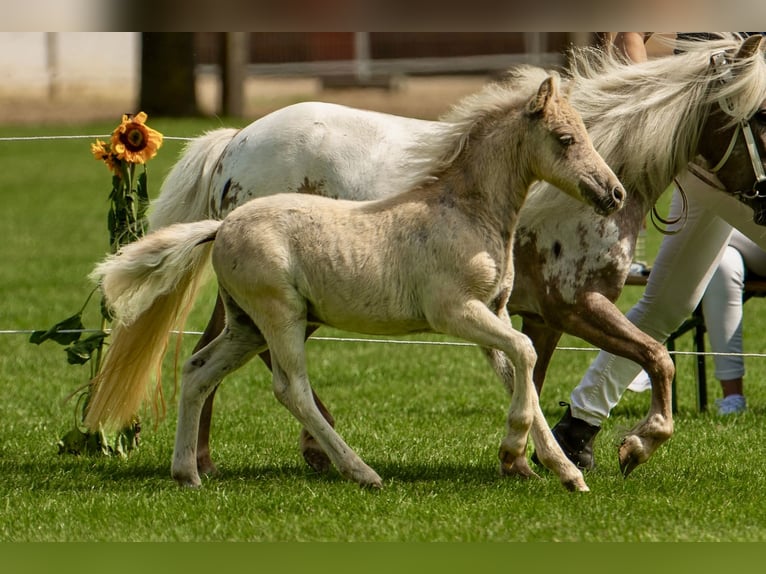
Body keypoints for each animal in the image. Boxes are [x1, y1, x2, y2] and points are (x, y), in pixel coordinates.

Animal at [86, 34, 766, 479]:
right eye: (759, 119)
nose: (762, 204)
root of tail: (237, 139)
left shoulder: (537, 314)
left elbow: (534, 372)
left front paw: (540, 458)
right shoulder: (574, 303)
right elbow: (656, 355)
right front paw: (631, 445)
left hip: (271, 312)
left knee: (213, 361)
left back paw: (226, 462)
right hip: (281, 309)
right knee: (259, 370)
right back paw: (304, 458)